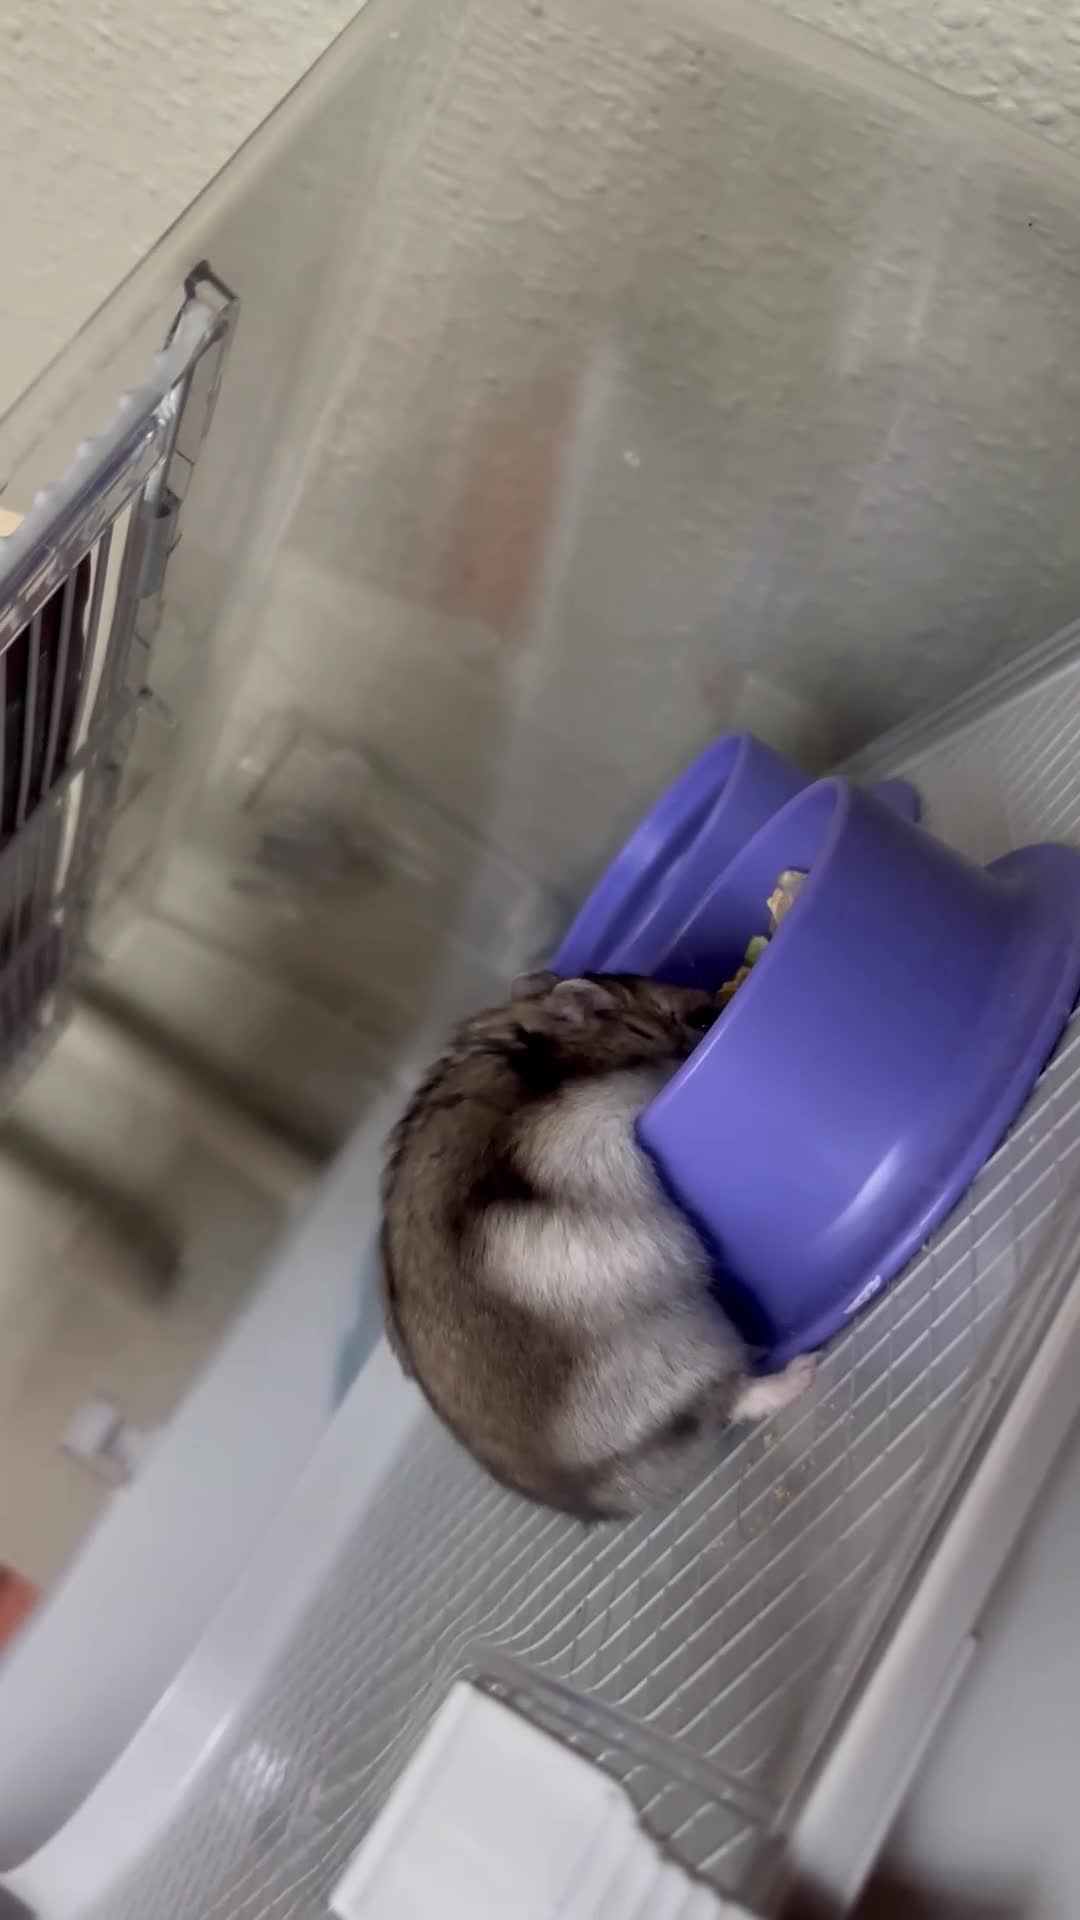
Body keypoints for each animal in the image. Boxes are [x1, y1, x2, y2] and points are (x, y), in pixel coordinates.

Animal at [380, 971, 813, 1519]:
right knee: (735, 1397)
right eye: (700, 1019)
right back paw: (802, 1370)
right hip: (684, 1355)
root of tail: (605, 1500)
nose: (719, 1002)